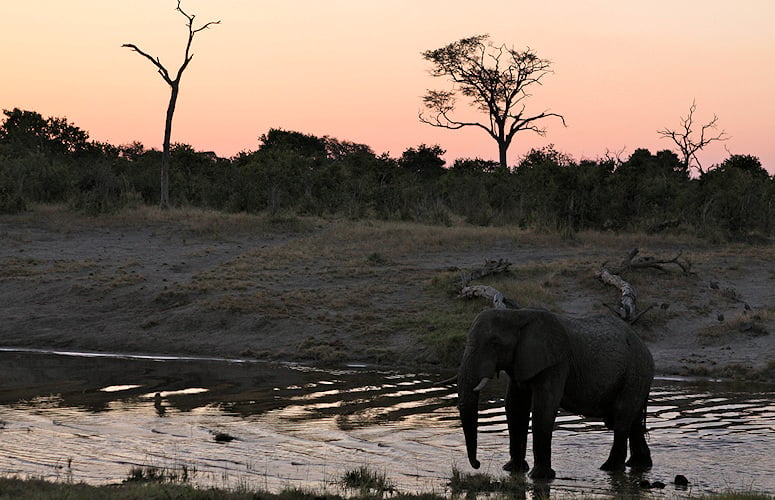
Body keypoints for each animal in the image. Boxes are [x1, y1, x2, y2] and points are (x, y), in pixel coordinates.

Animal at [457, 307, 654, 481]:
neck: (516, 315)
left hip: (636, 373)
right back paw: (639, 465)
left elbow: (544, 408)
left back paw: (609, 469)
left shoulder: (556, 363)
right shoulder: (520, 362)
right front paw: (512, 469)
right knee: (633, 422)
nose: (477, 464)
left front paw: (539, 477)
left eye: (495, 343)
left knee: (622, 418)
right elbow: (515, 407)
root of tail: (644, 346)